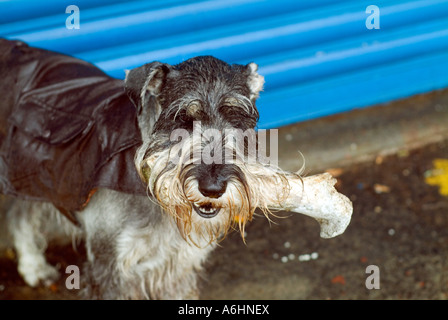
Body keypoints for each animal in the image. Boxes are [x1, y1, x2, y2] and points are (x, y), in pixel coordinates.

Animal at [0, 38, 294, 298]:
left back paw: (33, 266)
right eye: (182, 119)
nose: (213, 187)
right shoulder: (110, 267)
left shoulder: (178, 266)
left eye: (237, 119)